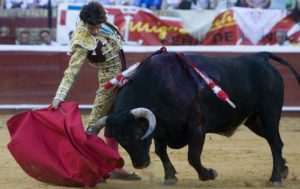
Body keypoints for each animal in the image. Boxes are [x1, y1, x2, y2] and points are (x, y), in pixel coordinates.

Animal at [86, 48, 300, 187]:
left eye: (138, 133)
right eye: (121, 141)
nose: (141, 164)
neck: (160, 86)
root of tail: (261, 57)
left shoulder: (196, 127)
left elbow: (193, 157)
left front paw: (209, 174)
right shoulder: (160, 129)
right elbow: (161, 151)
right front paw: (170, 177)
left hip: (269, 114)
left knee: (275, 142)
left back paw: (275, 178)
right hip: (254, 120)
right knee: (275, 142)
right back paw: (283, 170)